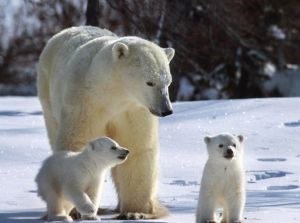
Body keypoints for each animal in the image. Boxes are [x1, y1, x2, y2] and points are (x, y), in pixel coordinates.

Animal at [36, 26, 175, 220]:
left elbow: (137, 147)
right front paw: (75, 210)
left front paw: (136, 212)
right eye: (150, 82)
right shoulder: (86, 102)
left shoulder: (134, 110)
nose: (166, 110)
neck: (113, 94)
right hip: (47, 93)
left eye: (168, 82)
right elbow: (77, 140)